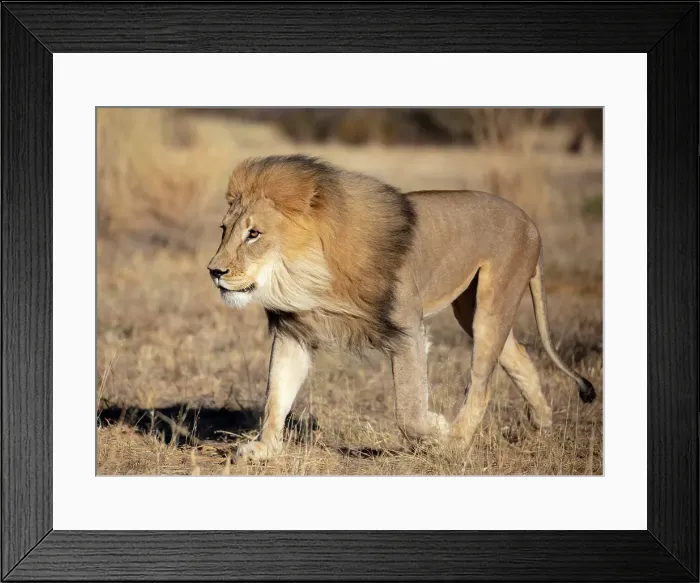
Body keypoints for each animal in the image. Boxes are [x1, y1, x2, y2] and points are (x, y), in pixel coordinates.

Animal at [207, 154, 597, 460]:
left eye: (254, 234)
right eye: (223, 230)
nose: (214, 271)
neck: (307, 277)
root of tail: (531, 223)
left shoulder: (407, 328)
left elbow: (408, 409)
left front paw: (437, 431)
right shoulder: (294, 331)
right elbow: (277, 394)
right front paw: (264, 449)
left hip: (493, 301)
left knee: (483, 383)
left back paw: (456, 444)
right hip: (469, 309)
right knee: (521, 358)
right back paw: (542, 425)